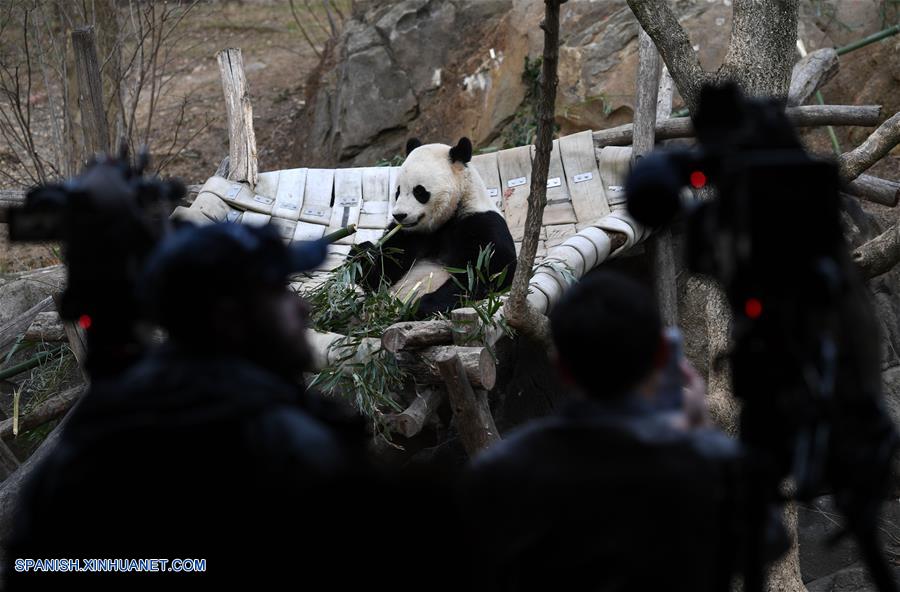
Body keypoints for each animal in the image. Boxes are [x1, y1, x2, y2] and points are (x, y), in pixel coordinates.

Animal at [356, 137, 516, 320]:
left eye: (419, 191)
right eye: (398, 191)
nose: (399, 215)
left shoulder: (482, 224)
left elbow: (488, 274)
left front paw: (419, 307)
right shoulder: (408, 235)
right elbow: (382, 273)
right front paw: (362, 252)